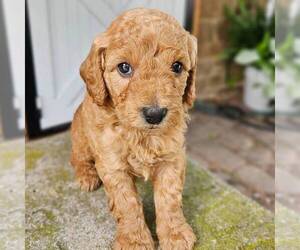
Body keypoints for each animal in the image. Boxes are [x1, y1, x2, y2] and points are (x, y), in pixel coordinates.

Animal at [70, 7, 197, 250]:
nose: (155, 114)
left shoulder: (173, 157)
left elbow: (169, 198)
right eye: (124, 68)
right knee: (78, 158)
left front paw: (175, 234)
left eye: (177, 66)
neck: (142, 135)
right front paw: (134, 240)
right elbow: (126, 203)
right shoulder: (112, 164)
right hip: (81, 137)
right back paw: (87, 175)